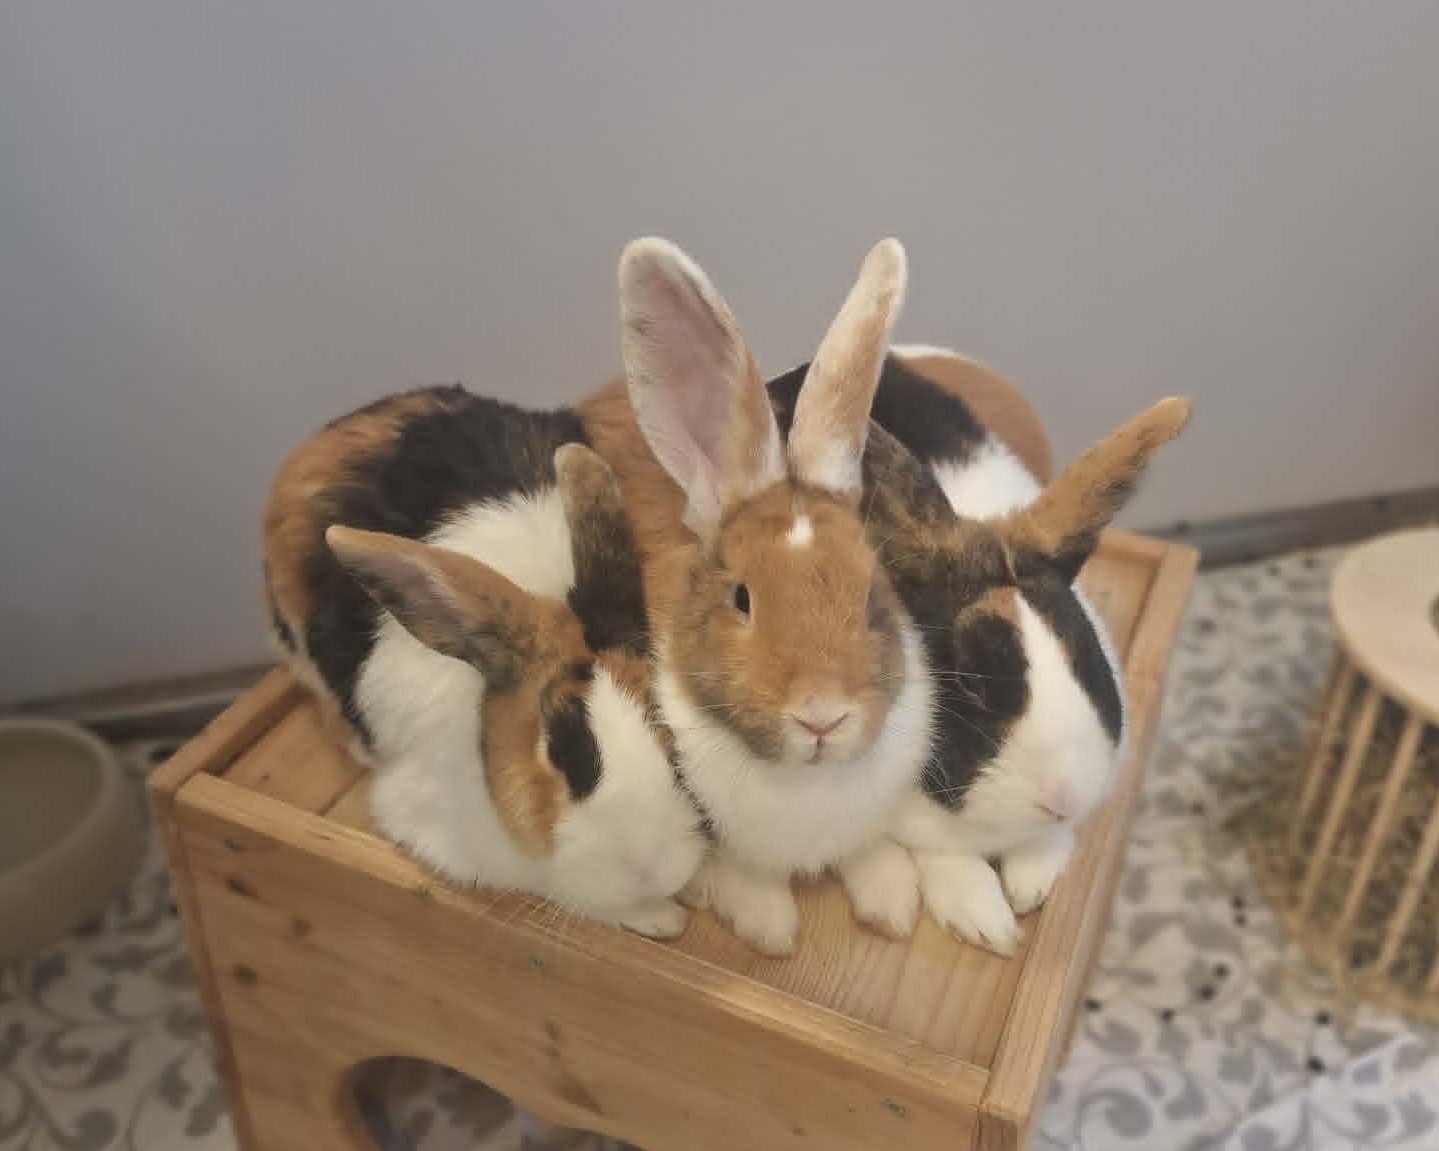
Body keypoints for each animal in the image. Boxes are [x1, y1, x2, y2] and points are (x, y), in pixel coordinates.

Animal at [576, 239, 936, 956]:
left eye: (871, 596)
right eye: (740, 597)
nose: (822, 716)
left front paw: (892, 902)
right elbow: (736, 874)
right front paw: (768, 924)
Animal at [772, 346, 1189, 954]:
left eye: (1084, 651)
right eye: (970, 684)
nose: (1061, 797)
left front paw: (1031, 884)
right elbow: (939, 853)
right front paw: (986, 921)